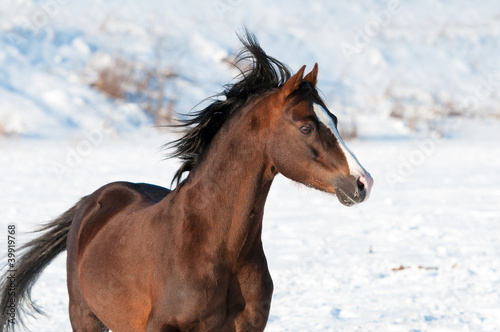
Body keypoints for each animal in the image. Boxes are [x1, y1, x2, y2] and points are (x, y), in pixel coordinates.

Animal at [0, 31, 372, 332]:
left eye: (335, 120)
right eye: (306, 126)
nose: (363, 183)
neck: (217, 249)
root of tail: (92, 200)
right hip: (84, 316)